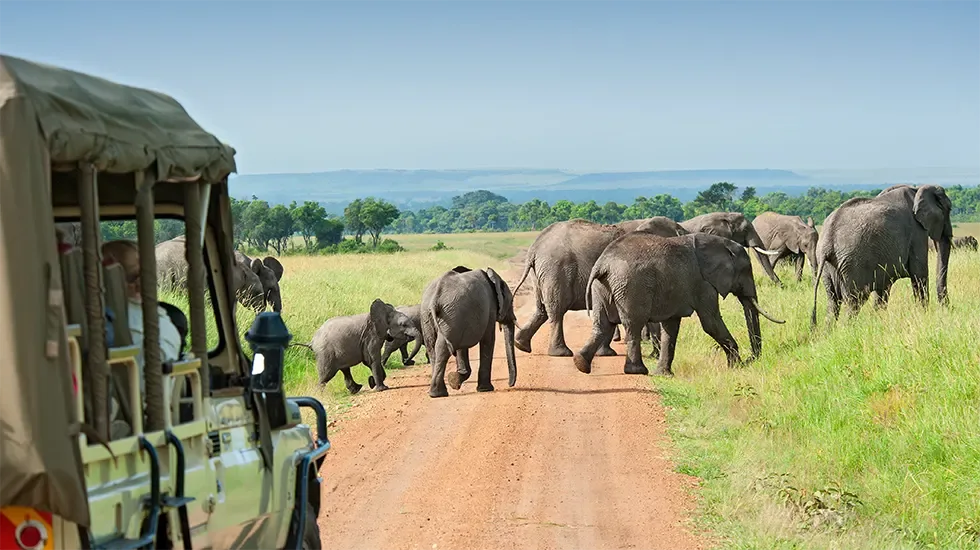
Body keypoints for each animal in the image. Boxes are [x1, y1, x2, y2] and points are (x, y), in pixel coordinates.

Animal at [420, 265, 518, 398]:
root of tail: (435, 298)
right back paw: (439, 393)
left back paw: (437, 393)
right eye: (511, 301)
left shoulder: (463, 320)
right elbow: (488, 340)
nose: (510, 384)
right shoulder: (490, 310)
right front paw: (485, 389)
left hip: (432, 316)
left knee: (432, 348)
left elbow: (462, 348)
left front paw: (454, 381)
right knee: (443, 348)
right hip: (450, 315)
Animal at [574, 232, 785, 377]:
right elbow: (710, 322)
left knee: (603, 325)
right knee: (633, 325)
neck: (721, 244)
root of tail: (603, 264)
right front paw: (735, 367)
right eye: (746, 270)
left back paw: (580, 363)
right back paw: (638, 371)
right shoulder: (703, 284)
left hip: (602, 287)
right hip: (631, 286)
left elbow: (671, 326)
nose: (751, 360)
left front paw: (664, 374)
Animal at [811, 184, 952, 325]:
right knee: (855, 301)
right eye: (949, 208)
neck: (917, 189)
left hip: (829, 267)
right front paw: (923, 315)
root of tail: (827, 241)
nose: (946, 308)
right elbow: (920, 274)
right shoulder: (917, 232)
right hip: (852, 264)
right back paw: (848, 328)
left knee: (832, 303)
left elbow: (883, 288)